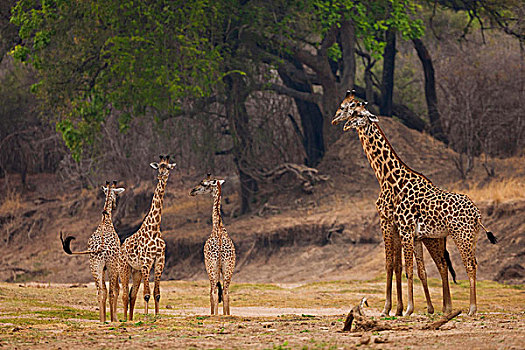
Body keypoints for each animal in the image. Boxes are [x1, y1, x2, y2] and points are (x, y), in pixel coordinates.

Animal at [59, 182, 125, 322]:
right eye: (117, 195)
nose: (115, 205)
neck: (106, 221)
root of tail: (101, 247)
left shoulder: (102, 268)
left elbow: (104, 290)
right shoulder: (113, 266)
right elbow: (115, 290)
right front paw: (114, 318)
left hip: (95, 266)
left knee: (100, 291)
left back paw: (102, 320)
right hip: (111, 266)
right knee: (112, 291)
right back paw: (112, 319)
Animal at [119, 154, 175, 322]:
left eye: (167, 167)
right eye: (159, 167)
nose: (161, 175)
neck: (155, 228)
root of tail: (121, 247)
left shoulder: (159, 260)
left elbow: (156, 294)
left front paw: (156, 315)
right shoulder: (146, 262)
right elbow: (146, 294)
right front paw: (145, 316)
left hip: (136, 271)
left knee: (131, 294)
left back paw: (131, 318)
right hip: (125, 267)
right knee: (125, 294)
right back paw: (125, 319)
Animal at [190, 174, 235, 314]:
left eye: (204, 183)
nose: (192, 191)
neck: (218, 226)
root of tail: (220, 245)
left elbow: (212, 294)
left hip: (211, 266)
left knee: (214, 292)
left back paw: (214, 315)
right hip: (228, 267)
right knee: (226, 293)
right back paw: (226, 315)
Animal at [332, 91, 496, 318]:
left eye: (355, 111)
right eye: (347, 109)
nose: (339, 122)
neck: (388, 179)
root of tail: (477, 214)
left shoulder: (398, 227)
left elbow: (400, 267)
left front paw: (401, 309)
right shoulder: (408, 232)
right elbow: (411, 268)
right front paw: (404, 308)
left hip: (460, 235)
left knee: (469, 265)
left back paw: (471, 309)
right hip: (466, 237)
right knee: (451, 264)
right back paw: (448, 308)